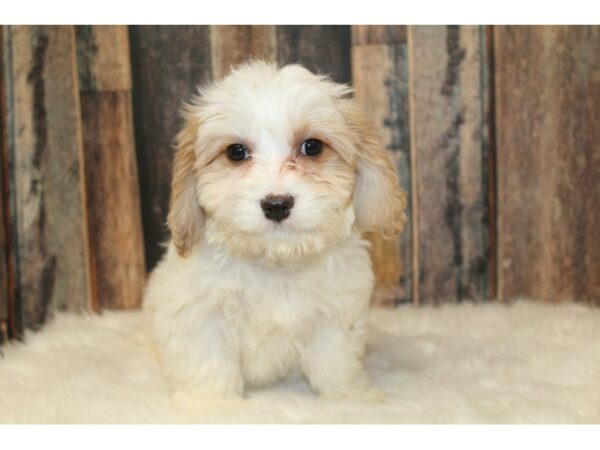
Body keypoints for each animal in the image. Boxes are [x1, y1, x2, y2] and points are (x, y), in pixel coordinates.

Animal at [144, 60, 408, 404]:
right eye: (236, 152)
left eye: (312, 146)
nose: (277, 205)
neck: (276, 262)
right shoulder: (199, 313)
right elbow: (209, 363)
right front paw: (212, 404)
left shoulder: (337, 314)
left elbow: (337, 360)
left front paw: (350, 397)